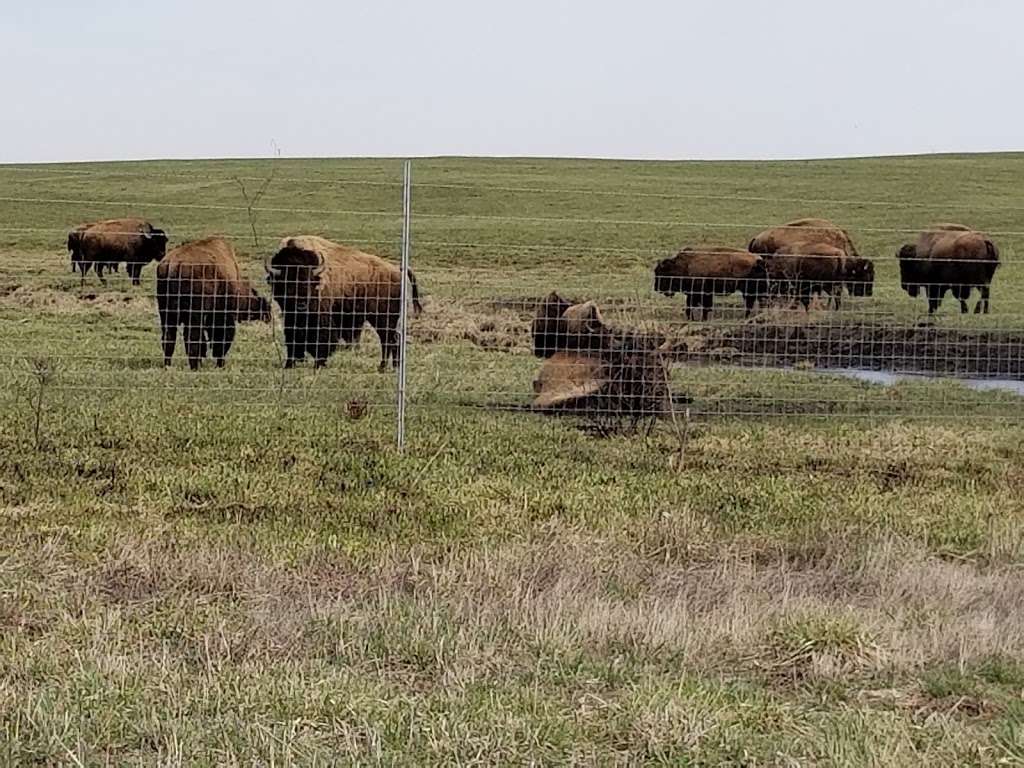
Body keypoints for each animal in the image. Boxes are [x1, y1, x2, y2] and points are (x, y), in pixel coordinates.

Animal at [153, 237, 270, 370]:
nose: (268, 315)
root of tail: (172, 264)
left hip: (166, 314)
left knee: (169, 338)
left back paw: (169, 365)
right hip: (193, 316)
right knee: (191, 338)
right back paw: (195, 367)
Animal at [268, 236, 423, 370]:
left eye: (310, 283)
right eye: (287, 284)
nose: (301, 304)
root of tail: (397, 270)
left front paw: (319, 363)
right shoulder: (290, 315)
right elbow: (291, 336)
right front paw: (289, 364)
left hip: (382, 319)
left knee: (388, 340)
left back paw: (383, 367)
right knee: (393, 339)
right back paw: (393, 367)